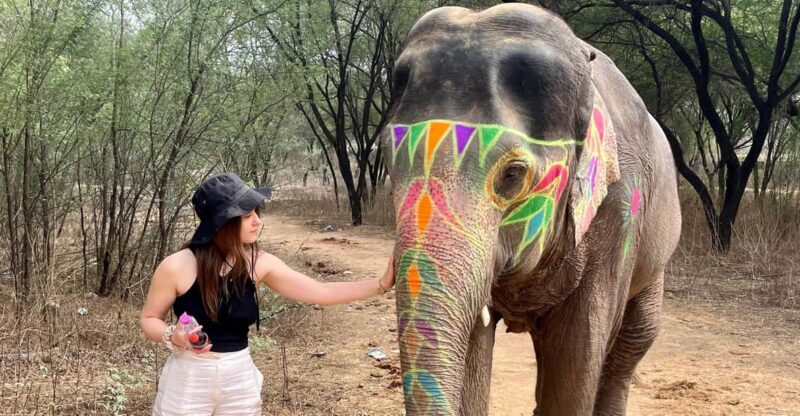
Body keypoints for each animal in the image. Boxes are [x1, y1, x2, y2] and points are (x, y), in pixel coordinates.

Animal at [382, 3, 681, 416]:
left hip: (655, 254)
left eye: (513, 174)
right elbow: (476, 345)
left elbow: (577, 354)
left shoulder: (620, 209)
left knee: (633, 342)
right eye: (387, 160)